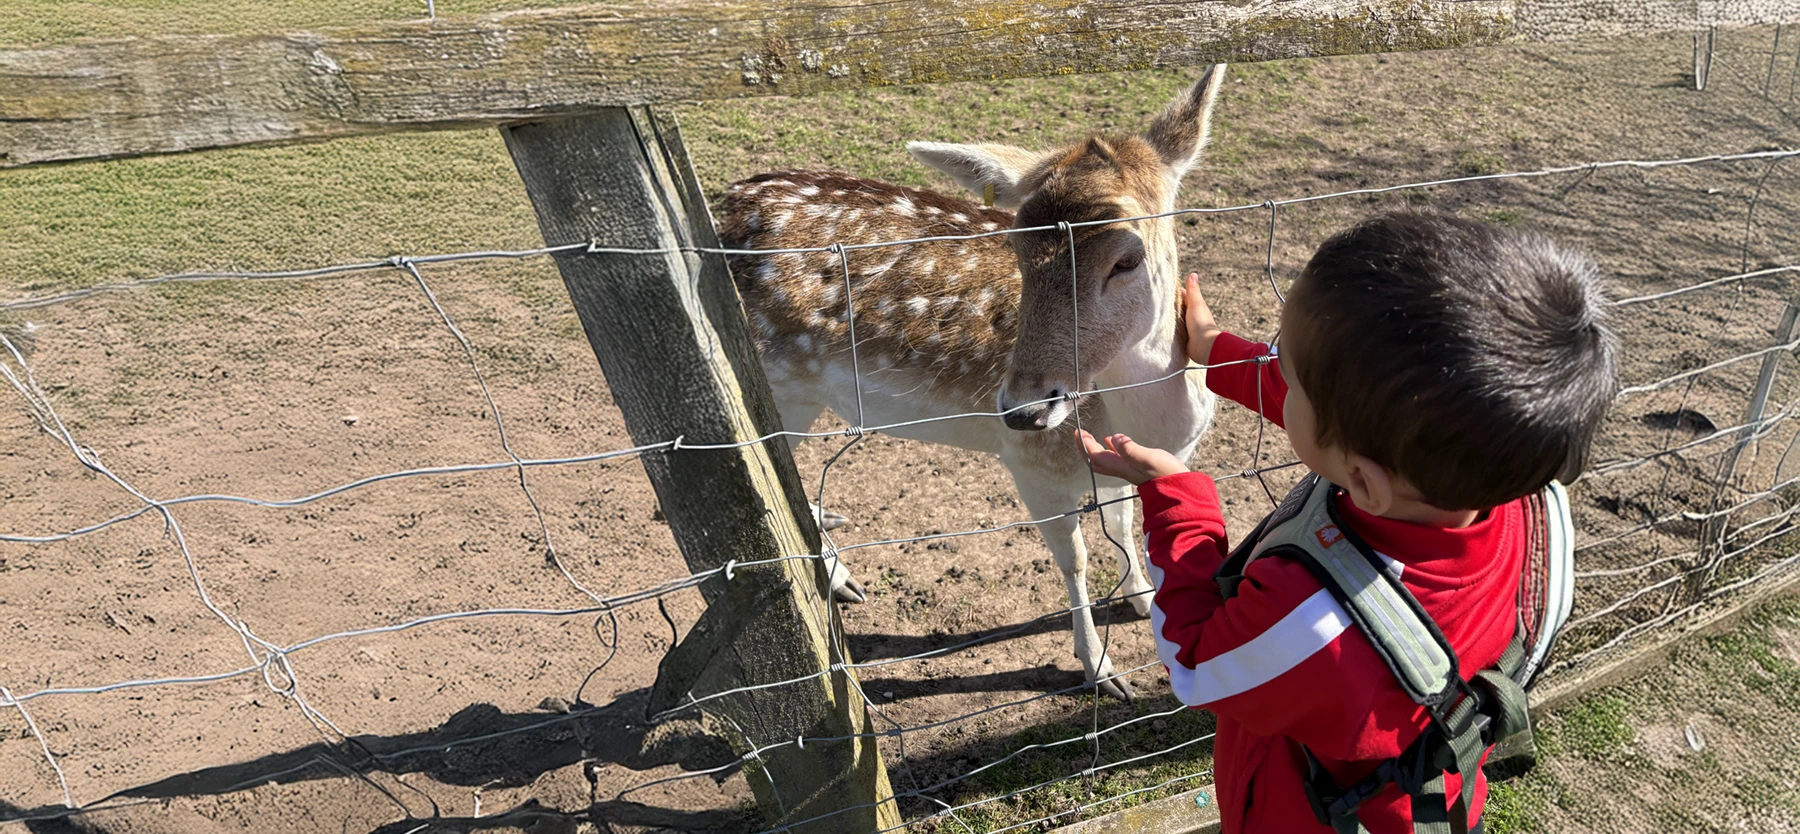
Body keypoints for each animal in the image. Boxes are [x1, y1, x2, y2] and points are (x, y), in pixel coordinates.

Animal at [716, 66, 1227, 701]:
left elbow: (1121, 518)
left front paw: (1142, 597)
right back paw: (839, 577)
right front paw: (1101, 670)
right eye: (1015, 245)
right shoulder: (1033, 465)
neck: (1153, 422)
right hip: (775, 386)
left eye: (1127, 259)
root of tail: (720, 203)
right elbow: (1075, 559)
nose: (1023, 410)